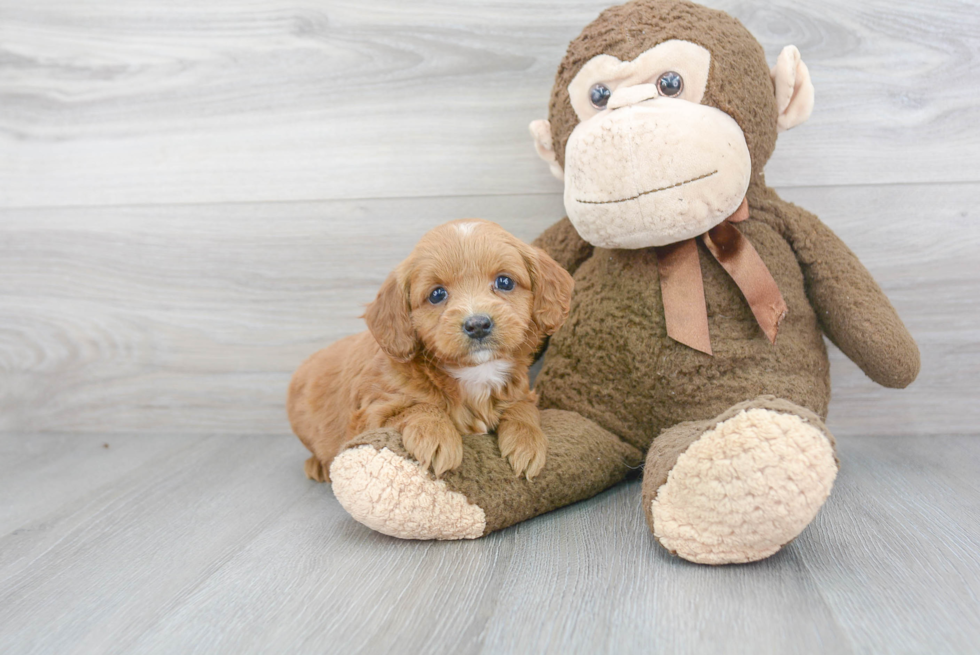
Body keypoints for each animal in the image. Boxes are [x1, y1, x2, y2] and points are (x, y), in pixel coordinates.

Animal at [286, 220, 576, 482]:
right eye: (437, 294)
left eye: (505, 282)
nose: (478, 324)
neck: (474, 373)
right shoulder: (369, 415)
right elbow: (419, 407)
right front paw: (438, 436)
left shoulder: (522, 392)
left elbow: (524, 409)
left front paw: (527, 442)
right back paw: (317, 466)